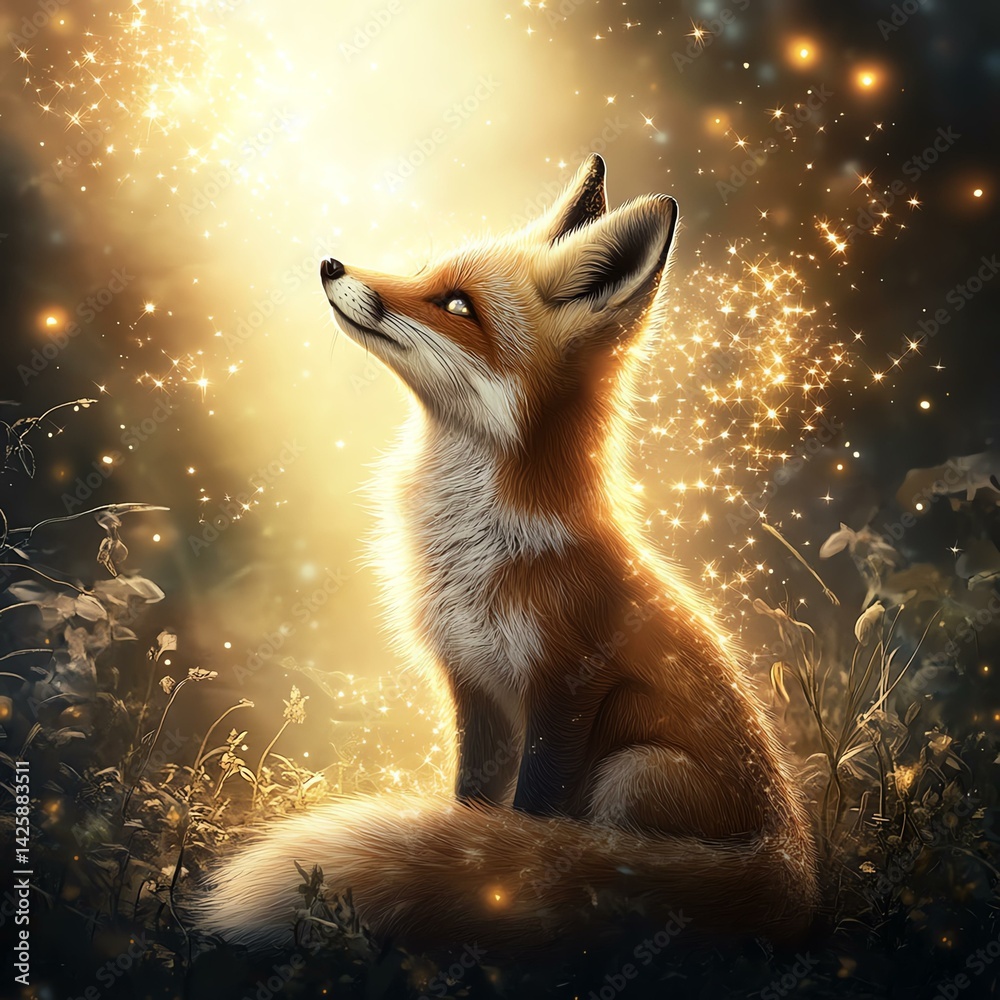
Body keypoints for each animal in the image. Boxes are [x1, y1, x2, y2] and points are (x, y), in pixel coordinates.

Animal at [195, 154, 818, 957]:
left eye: (459, 306)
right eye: (423, 272)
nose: (332, 263)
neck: (477, 550)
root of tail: (797, 859)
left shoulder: (567, 684)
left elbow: (532, 816)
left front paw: (503, 886)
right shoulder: (474, 686)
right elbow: (472, 805)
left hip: (636, 769)